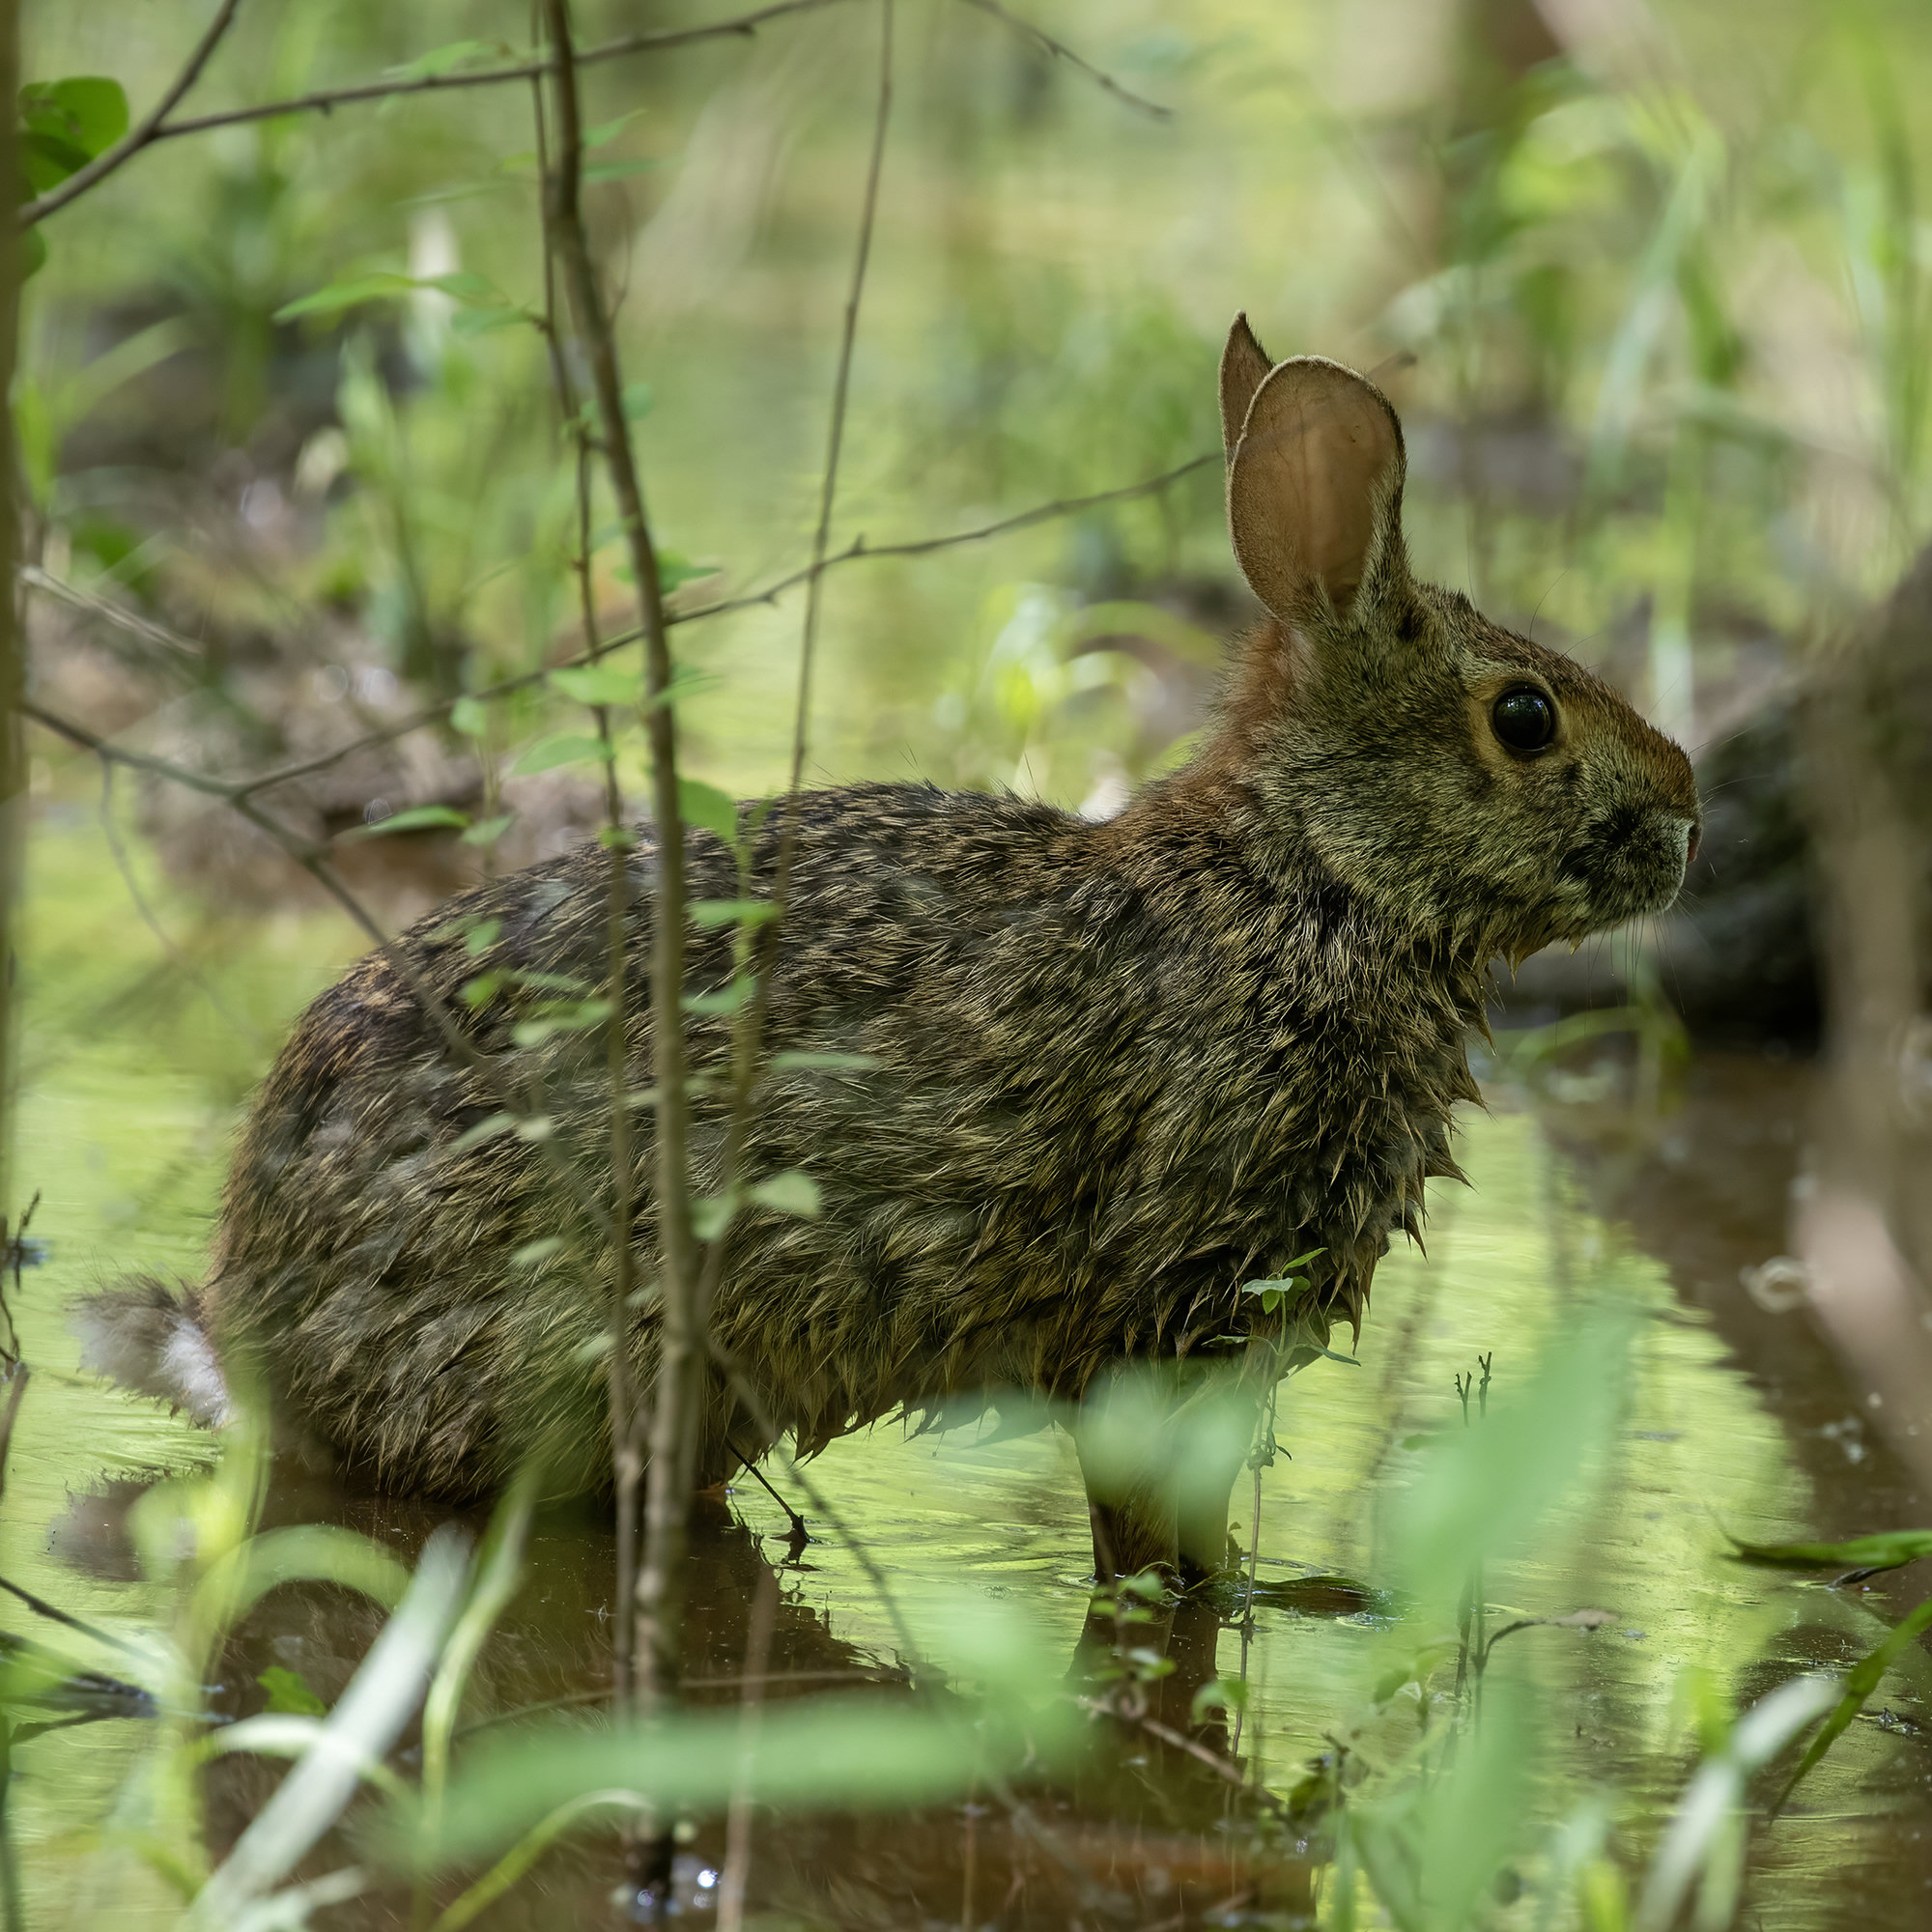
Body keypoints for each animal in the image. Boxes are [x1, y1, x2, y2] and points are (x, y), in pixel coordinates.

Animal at [83, 318, 1700, 1584]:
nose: (1688, 813)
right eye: (1524, 719)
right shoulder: (1164, 1308)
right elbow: (1151, 1545)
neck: (1309, 878)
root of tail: (252, 1335)